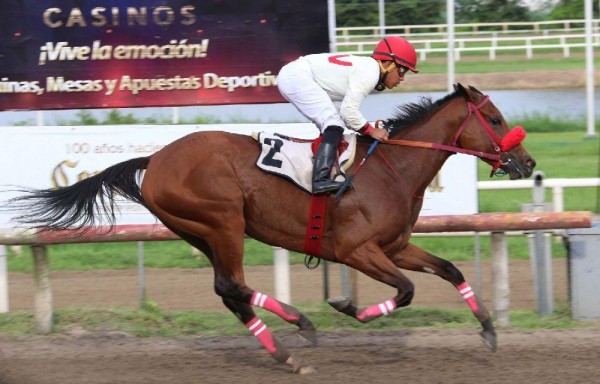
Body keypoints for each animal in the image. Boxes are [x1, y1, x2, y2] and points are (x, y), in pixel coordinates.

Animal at [8, 83, 536, 372]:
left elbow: (449, 269)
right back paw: (299, 328)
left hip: (197, 230)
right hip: (223, 220)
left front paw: (489, 331)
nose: (527, 163)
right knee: (232, 285)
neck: (393, 169)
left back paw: (288, 350)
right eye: (494, 118)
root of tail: (155, 159)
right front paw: (346, 305)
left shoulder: (394, 246)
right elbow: (405, 291)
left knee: (229, 290)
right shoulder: (357, 250)